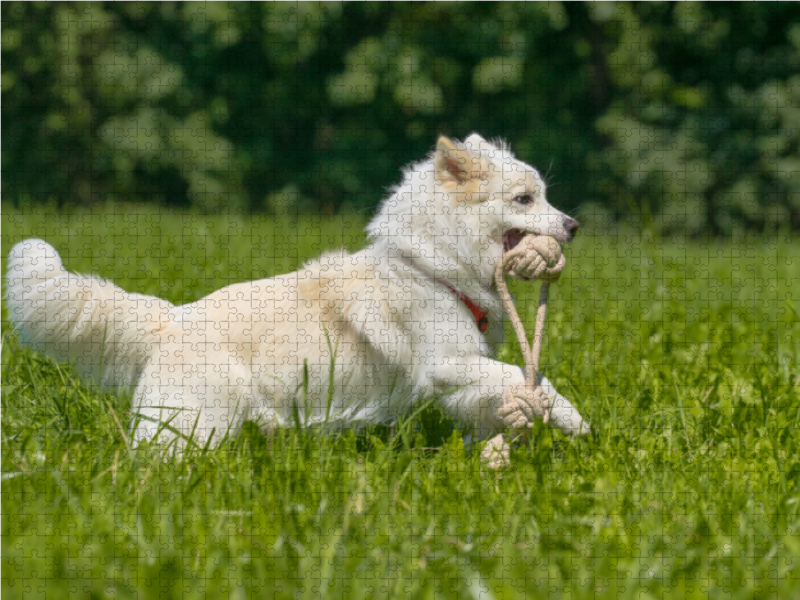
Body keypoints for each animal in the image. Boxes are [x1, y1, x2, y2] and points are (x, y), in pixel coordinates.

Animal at [4, 132, 588, 450]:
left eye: (545, 196)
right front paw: (571, 419)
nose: (575, 225)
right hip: (189, 430)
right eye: (524, 199)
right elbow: (525, 377)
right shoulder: (445, 364)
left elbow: (507, 386)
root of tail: (173, 319)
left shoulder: (459, 376)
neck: (430, 267)